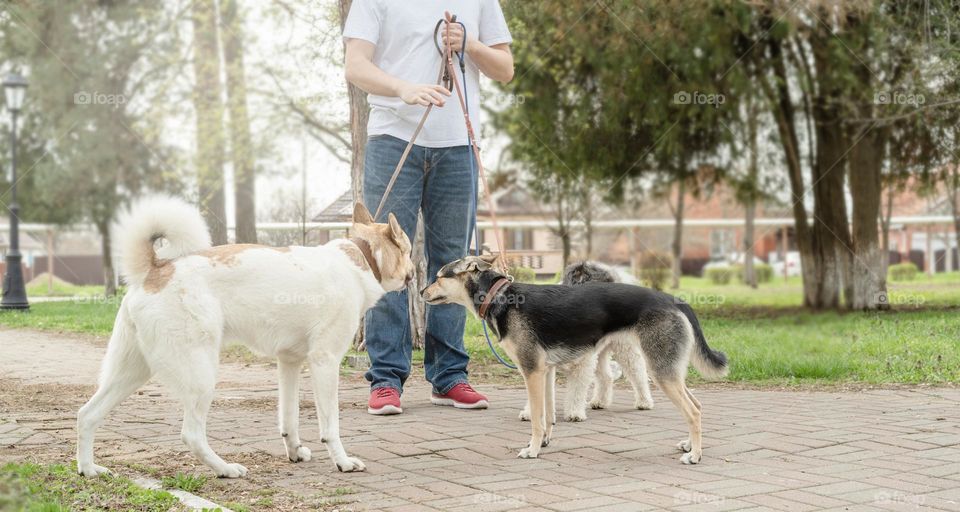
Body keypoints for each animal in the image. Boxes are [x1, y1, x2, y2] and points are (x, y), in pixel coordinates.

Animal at [76, 198, 412, 478]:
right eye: (409, 250)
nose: (415, 274)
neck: (362, 257)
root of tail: (156, 269)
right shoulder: (324, 362)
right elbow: (331, 426)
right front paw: (342, 461)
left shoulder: (290, 363)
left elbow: (289, 419)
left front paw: (294, 451)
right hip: (200, 376)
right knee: (191, 434)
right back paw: (225, 469)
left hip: (130, 374)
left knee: (86, 415)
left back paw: (89, 469)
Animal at [420, 256, 728, 464]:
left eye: (439, 276)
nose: (421, 291)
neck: (501, 298)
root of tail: (673, 300)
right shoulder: (545, 372)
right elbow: (546, 415)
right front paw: (544, 442)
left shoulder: (531, 371)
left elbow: (536, 418)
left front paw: (532, 449)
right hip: (669, 369)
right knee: (697, 405)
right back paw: (689, 445)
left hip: (660, 369)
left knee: (693, 411)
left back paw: (695, 455)